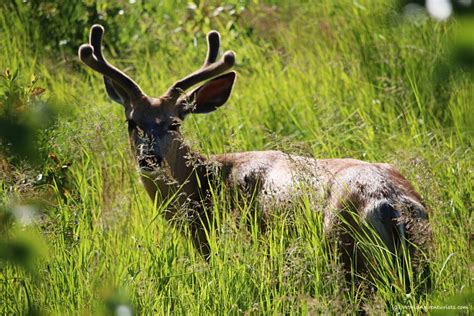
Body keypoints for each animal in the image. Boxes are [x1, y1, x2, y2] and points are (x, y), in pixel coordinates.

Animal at [77, 24, 430, 286]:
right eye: (132, 122)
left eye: (174, 122)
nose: (149, 159)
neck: (205, 184)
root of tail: (390, 203)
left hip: (343, 251)